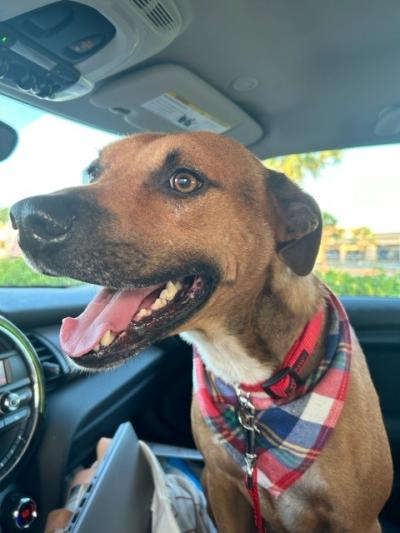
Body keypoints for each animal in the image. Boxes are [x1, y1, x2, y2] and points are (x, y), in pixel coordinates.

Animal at [10, 132, 392, 532]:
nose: (25, 217)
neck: (247, 381)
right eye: (93, 172)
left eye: (184, 181)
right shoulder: (223, 486)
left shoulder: (358, 519)